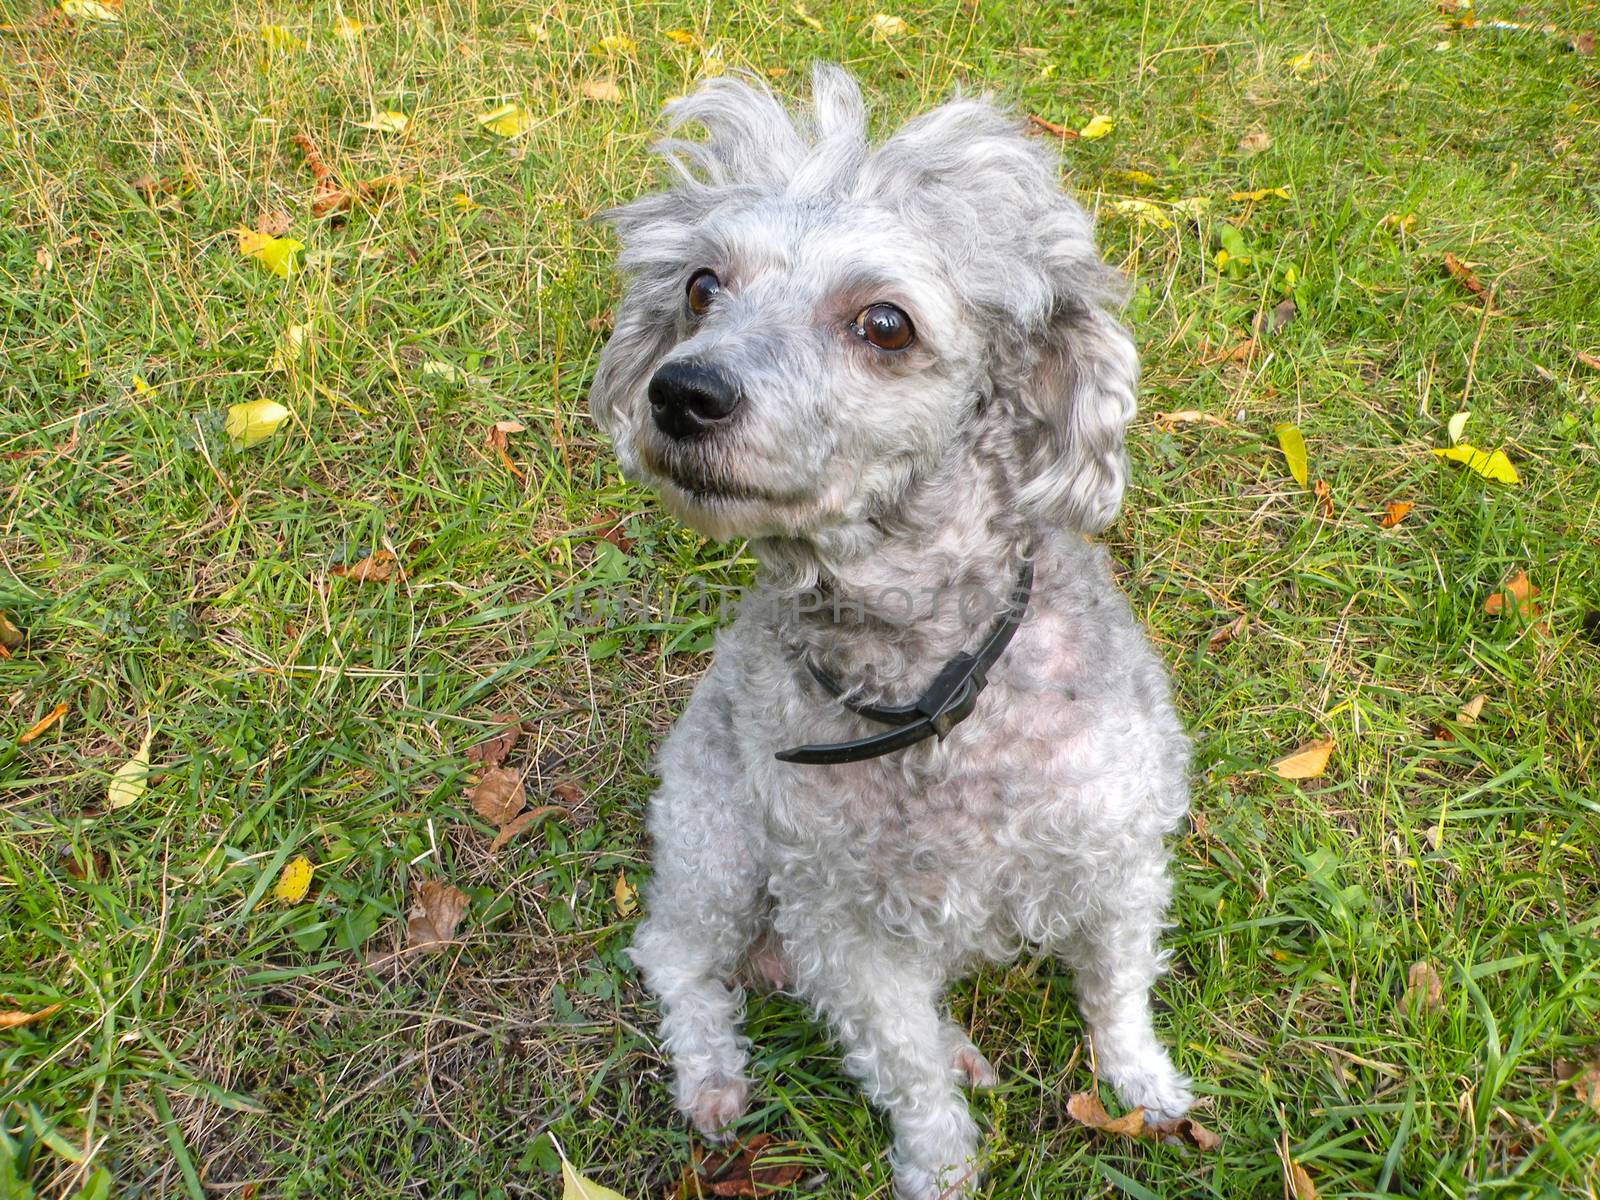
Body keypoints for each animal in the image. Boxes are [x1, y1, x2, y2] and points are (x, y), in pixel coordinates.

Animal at [585, 68, 1190, 1200]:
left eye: (884, 322)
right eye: (702, 286)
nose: (680, 392)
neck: (935, 688)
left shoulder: (1118, 853)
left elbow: (1119, 987)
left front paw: (1141, 1082)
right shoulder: (843, 926)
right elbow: (903, 1069)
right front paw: (938, 1164)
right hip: (716, 851)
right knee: (675, 959)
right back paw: (713, 1079)